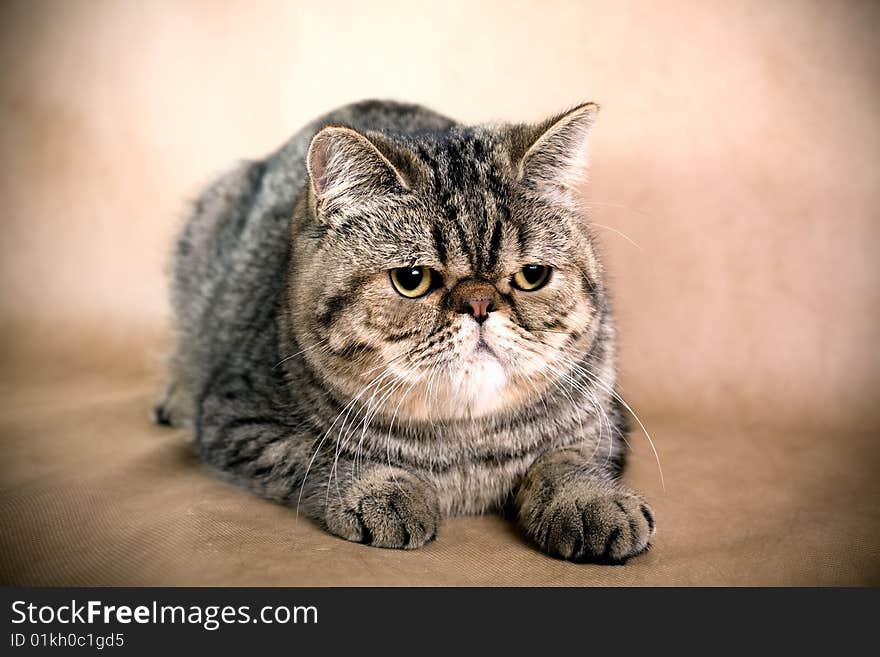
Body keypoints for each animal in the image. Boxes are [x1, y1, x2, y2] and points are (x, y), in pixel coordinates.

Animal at [156, 100, 652, 560]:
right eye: (413, 279)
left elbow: (569, 461)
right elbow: (322, 456)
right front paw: (383, 492)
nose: (479, 303)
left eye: (532, 275)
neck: (463, 444)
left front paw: (590, 501)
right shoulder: (238, 420)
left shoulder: (606, 422)